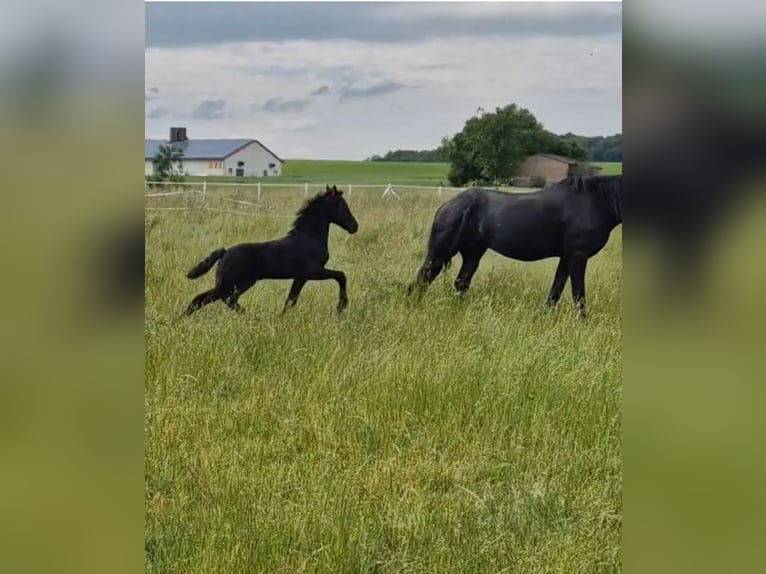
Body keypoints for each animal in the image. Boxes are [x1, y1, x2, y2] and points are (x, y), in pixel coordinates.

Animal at [183, 186, 360, 318]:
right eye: (342, 206)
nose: (354, 226)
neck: (309, 238)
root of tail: (225, 252)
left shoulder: (301, 277)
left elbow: (291, 299)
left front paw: (282, 317)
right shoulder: (313, 271)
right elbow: (340, 275)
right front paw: (341, 305)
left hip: (237, 283)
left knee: (209, 299)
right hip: (232, 283)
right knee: (216, 299)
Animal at [412, 176, 620, 320]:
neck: (596, 203)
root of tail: (448, 205)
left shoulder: (566, 257)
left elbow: (555, 291)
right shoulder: (578, 256)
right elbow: (578, 294)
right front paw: (582, 323)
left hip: (472, 253)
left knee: (460, 283)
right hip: (440, 253)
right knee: (423, 279)